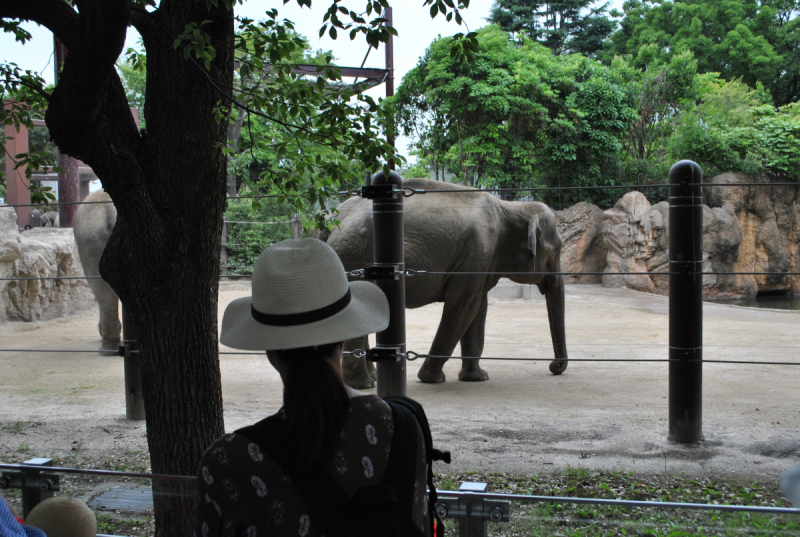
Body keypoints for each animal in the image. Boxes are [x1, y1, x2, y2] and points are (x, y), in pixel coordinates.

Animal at [320, 178, 568, 388]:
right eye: (558, 249)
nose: (554, 367)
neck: (510, 207)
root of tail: (330, 222)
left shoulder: (480, 261)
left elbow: (478, 309)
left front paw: (477, 378)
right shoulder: (477, 252)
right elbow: (463, 307)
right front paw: (432, 379)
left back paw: (370, 379)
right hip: (355, 255)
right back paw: (363, 385)